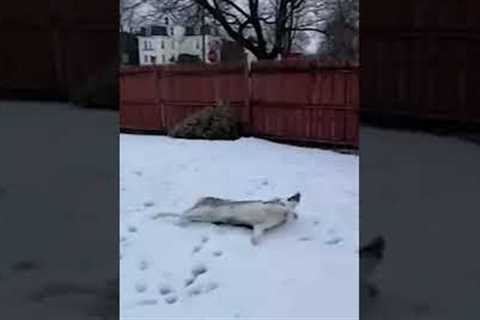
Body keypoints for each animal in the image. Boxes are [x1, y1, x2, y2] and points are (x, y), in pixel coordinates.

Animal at [154, 192, 300, 245]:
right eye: (291, 196)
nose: (299, 193)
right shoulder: (270, 206)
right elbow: (283, 208)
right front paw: (291, 213)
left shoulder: (260, 226)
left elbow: (257, 232)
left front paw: (254, 241)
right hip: (203, 210)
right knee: (181, 213)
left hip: (201, 216)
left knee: (184, 215)